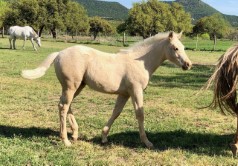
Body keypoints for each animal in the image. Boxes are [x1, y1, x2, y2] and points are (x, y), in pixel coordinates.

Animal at [20, 31, 192, 148]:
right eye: (175, 48)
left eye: (183, 47)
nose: (188, 64)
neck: (139, 62)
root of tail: (59, 53)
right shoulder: (136, 91)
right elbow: (140, 114)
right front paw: (147, 142)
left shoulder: (124, 94)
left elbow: (116, 113)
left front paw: (103, 137)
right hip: (71, 86)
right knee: (63, 106)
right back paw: (66, 140)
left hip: (77, 86)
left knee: (66, 105)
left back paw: (75, 133)